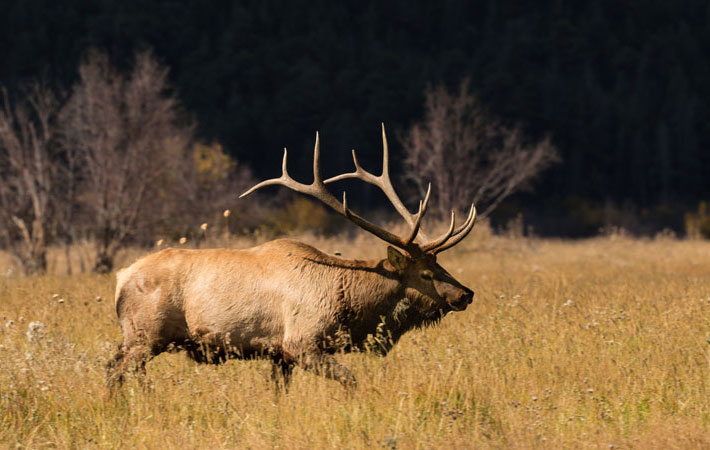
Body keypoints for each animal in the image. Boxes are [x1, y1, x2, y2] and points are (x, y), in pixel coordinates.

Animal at [107, 125, 478, 390]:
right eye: (425, 274)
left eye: (440, 264)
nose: (466, 294)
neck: (351, 307)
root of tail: (121, 278)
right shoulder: (301, 342)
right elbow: (351, 381)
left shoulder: (278, 354)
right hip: (144, 334)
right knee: (115, 370)